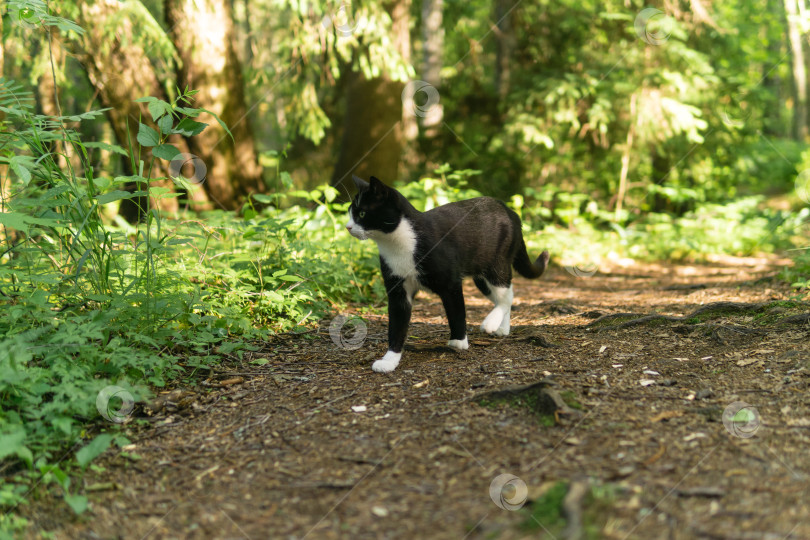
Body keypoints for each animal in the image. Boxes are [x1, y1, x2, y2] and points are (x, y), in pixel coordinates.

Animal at [344, 175, 548, 374]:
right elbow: (396, 325)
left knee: (506, 294)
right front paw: (389, 360)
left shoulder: (450, 282)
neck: (397, 245)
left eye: (362, 213)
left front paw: (459, 342)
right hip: (482, 277)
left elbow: (456, 310)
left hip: (497, 263)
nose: (348, 227)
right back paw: (502, 328)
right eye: (350, 212)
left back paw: (490, 323)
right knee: (504, 295)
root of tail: (510, 211)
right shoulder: (397, 290)